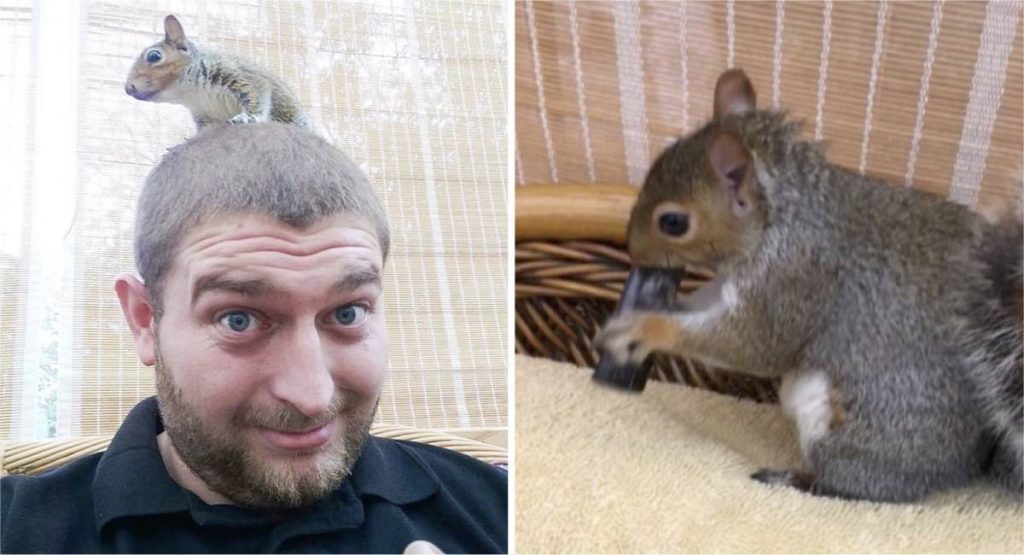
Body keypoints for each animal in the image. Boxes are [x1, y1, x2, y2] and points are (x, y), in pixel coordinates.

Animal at [125, 15, 310, 130]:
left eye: (154, 56)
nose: (128, 88)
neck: (191, 93)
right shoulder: (202, 113)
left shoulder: (239, 75)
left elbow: (256, 97)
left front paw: (246, 117)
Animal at [596, 69, 1023, 502]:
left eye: (673, 222)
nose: (633, 250)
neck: (783, 218)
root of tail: (968, 467)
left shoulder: (793, 281)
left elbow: (752, 346)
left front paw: (644, 330)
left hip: (849, 435)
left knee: (850, 485)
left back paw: (794, 479)